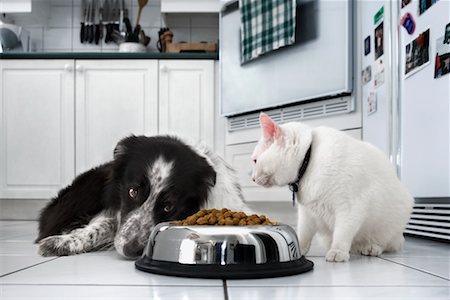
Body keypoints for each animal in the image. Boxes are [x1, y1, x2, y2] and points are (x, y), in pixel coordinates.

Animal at [251, 112, 414, 262]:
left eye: (254, 161)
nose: (252, 178)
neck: (310, 160)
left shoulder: (350, 208)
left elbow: (342, 232)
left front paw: (337, 251)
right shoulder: (307, 213)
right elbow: (303, 233)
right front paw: (299, 249)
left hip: (391, 222)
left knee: (386, 243)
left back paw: (371, 247)